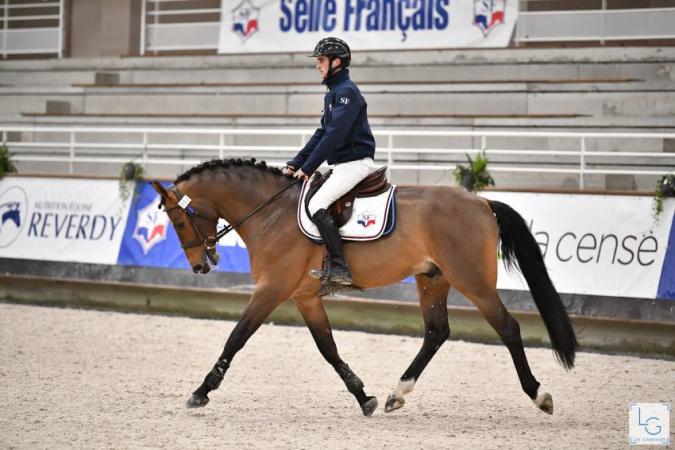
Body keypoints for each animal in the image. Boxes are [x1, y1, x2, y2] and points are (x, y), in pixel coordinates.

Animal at [150, 157, 577, 417]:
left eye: (180, 221)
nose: (200, 265)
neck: (270, 213)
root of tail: (483, 203)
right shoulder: (304, 297)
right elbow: (328, 348)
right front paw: (364, 396)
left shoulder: (271, 290)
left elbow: (236, 338)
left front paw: (201, 391)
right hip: (433, 280)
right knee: (436, 332)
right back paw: (395, 394)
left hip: (472, 280)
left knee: (507, 328)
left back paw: (539, 395)